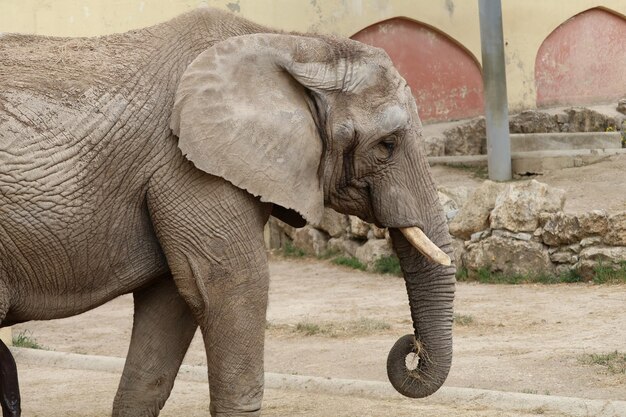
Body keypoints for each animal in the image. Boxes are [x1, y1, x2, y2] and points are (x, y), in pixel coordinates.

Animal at [0, 7, 450, 416]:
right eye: (387, 145)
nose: (410, 348)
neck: (291, 43)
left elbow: (172, 302)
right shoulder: (189, 166)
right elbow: (232, 285)